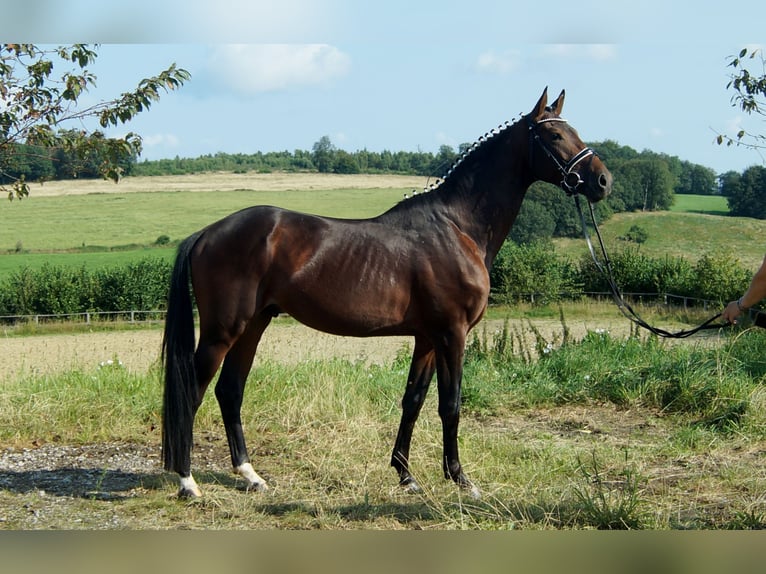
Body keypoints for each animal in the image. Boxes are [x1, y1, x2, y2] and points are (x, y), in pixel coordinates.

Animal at [162, 89, 612, 500]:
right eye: (554, 135)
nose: (602, 180)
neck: (458, 227)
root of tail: (206, 233)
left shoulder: (428, 337)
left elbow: (413, 400)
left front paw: (406, 476)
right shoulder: (452, 334)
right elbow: (450, 405)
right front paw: (461, 479)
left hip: (254, 325)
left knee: (229, 391)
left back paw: (250, 475)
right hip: (223, 330)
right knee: (193, 392)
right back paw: (187, 482)